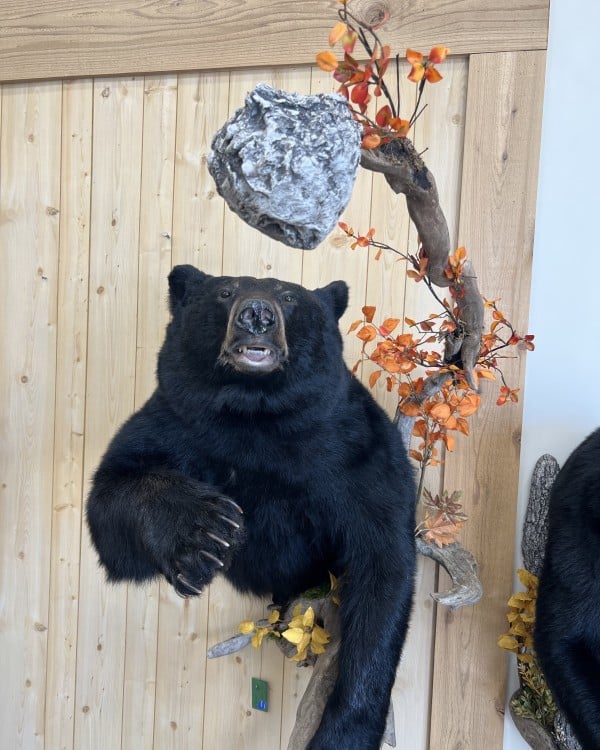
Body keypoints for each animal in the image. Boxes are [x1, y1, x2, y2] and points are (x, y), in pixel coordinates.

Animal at [86, 264, 416, 750]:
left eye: (290, 297)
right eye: (225, 291)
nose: (257, 314)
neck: (255, 415)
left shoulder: (352, 446)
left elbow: (383, 562)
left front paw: (342, 734)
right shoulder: (177, 423)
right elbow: (111, 497)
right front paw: (203, 535)